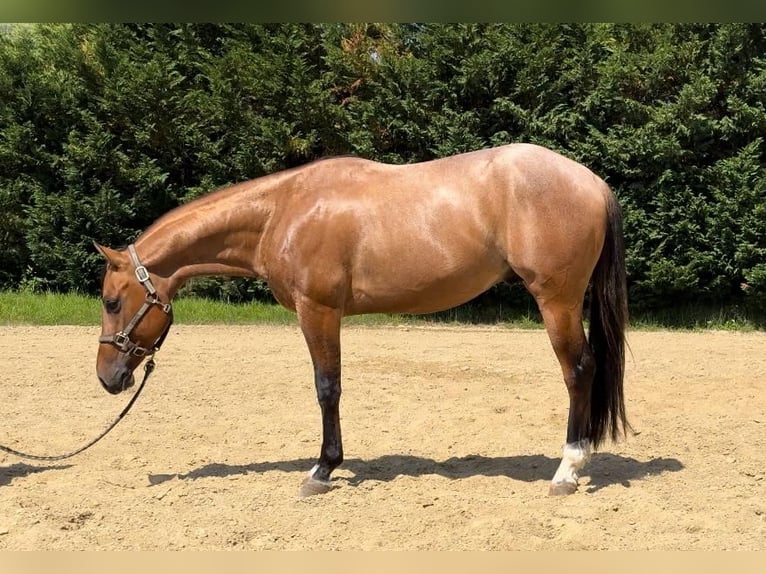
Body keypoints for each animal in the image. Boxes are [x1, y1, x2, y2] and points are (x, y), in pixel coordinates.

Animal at [95, 142, 630, 497]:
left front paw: (322, 469)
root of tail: (593, 182)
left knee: (578, 370)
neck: (282, 211)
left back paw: (567, 470)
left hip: (556, 301)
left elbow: (327, 387)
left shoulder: (318, 311)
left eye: (110, 301)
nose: (107, 378)